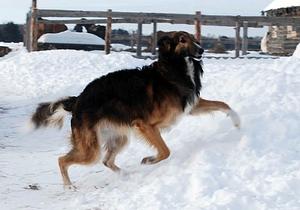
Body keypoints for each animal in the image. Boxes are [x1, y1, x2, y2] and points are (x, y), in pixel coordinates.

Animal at [31, 31, 241, 189]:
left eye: (194, 38)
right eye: (182, 40)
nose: (202, 49)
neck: (173, 69)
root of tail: (77, 100)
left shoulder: (190, 106)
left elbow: (223, 104)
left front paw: (237, 122)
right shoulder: (145, 125)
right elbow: (165, 151)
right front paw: (148, 160)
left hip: (119, 138)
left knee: (106, 161)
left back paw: (125, 174)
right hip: (91, 148)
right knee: (62, 160)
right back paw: (69, 186)